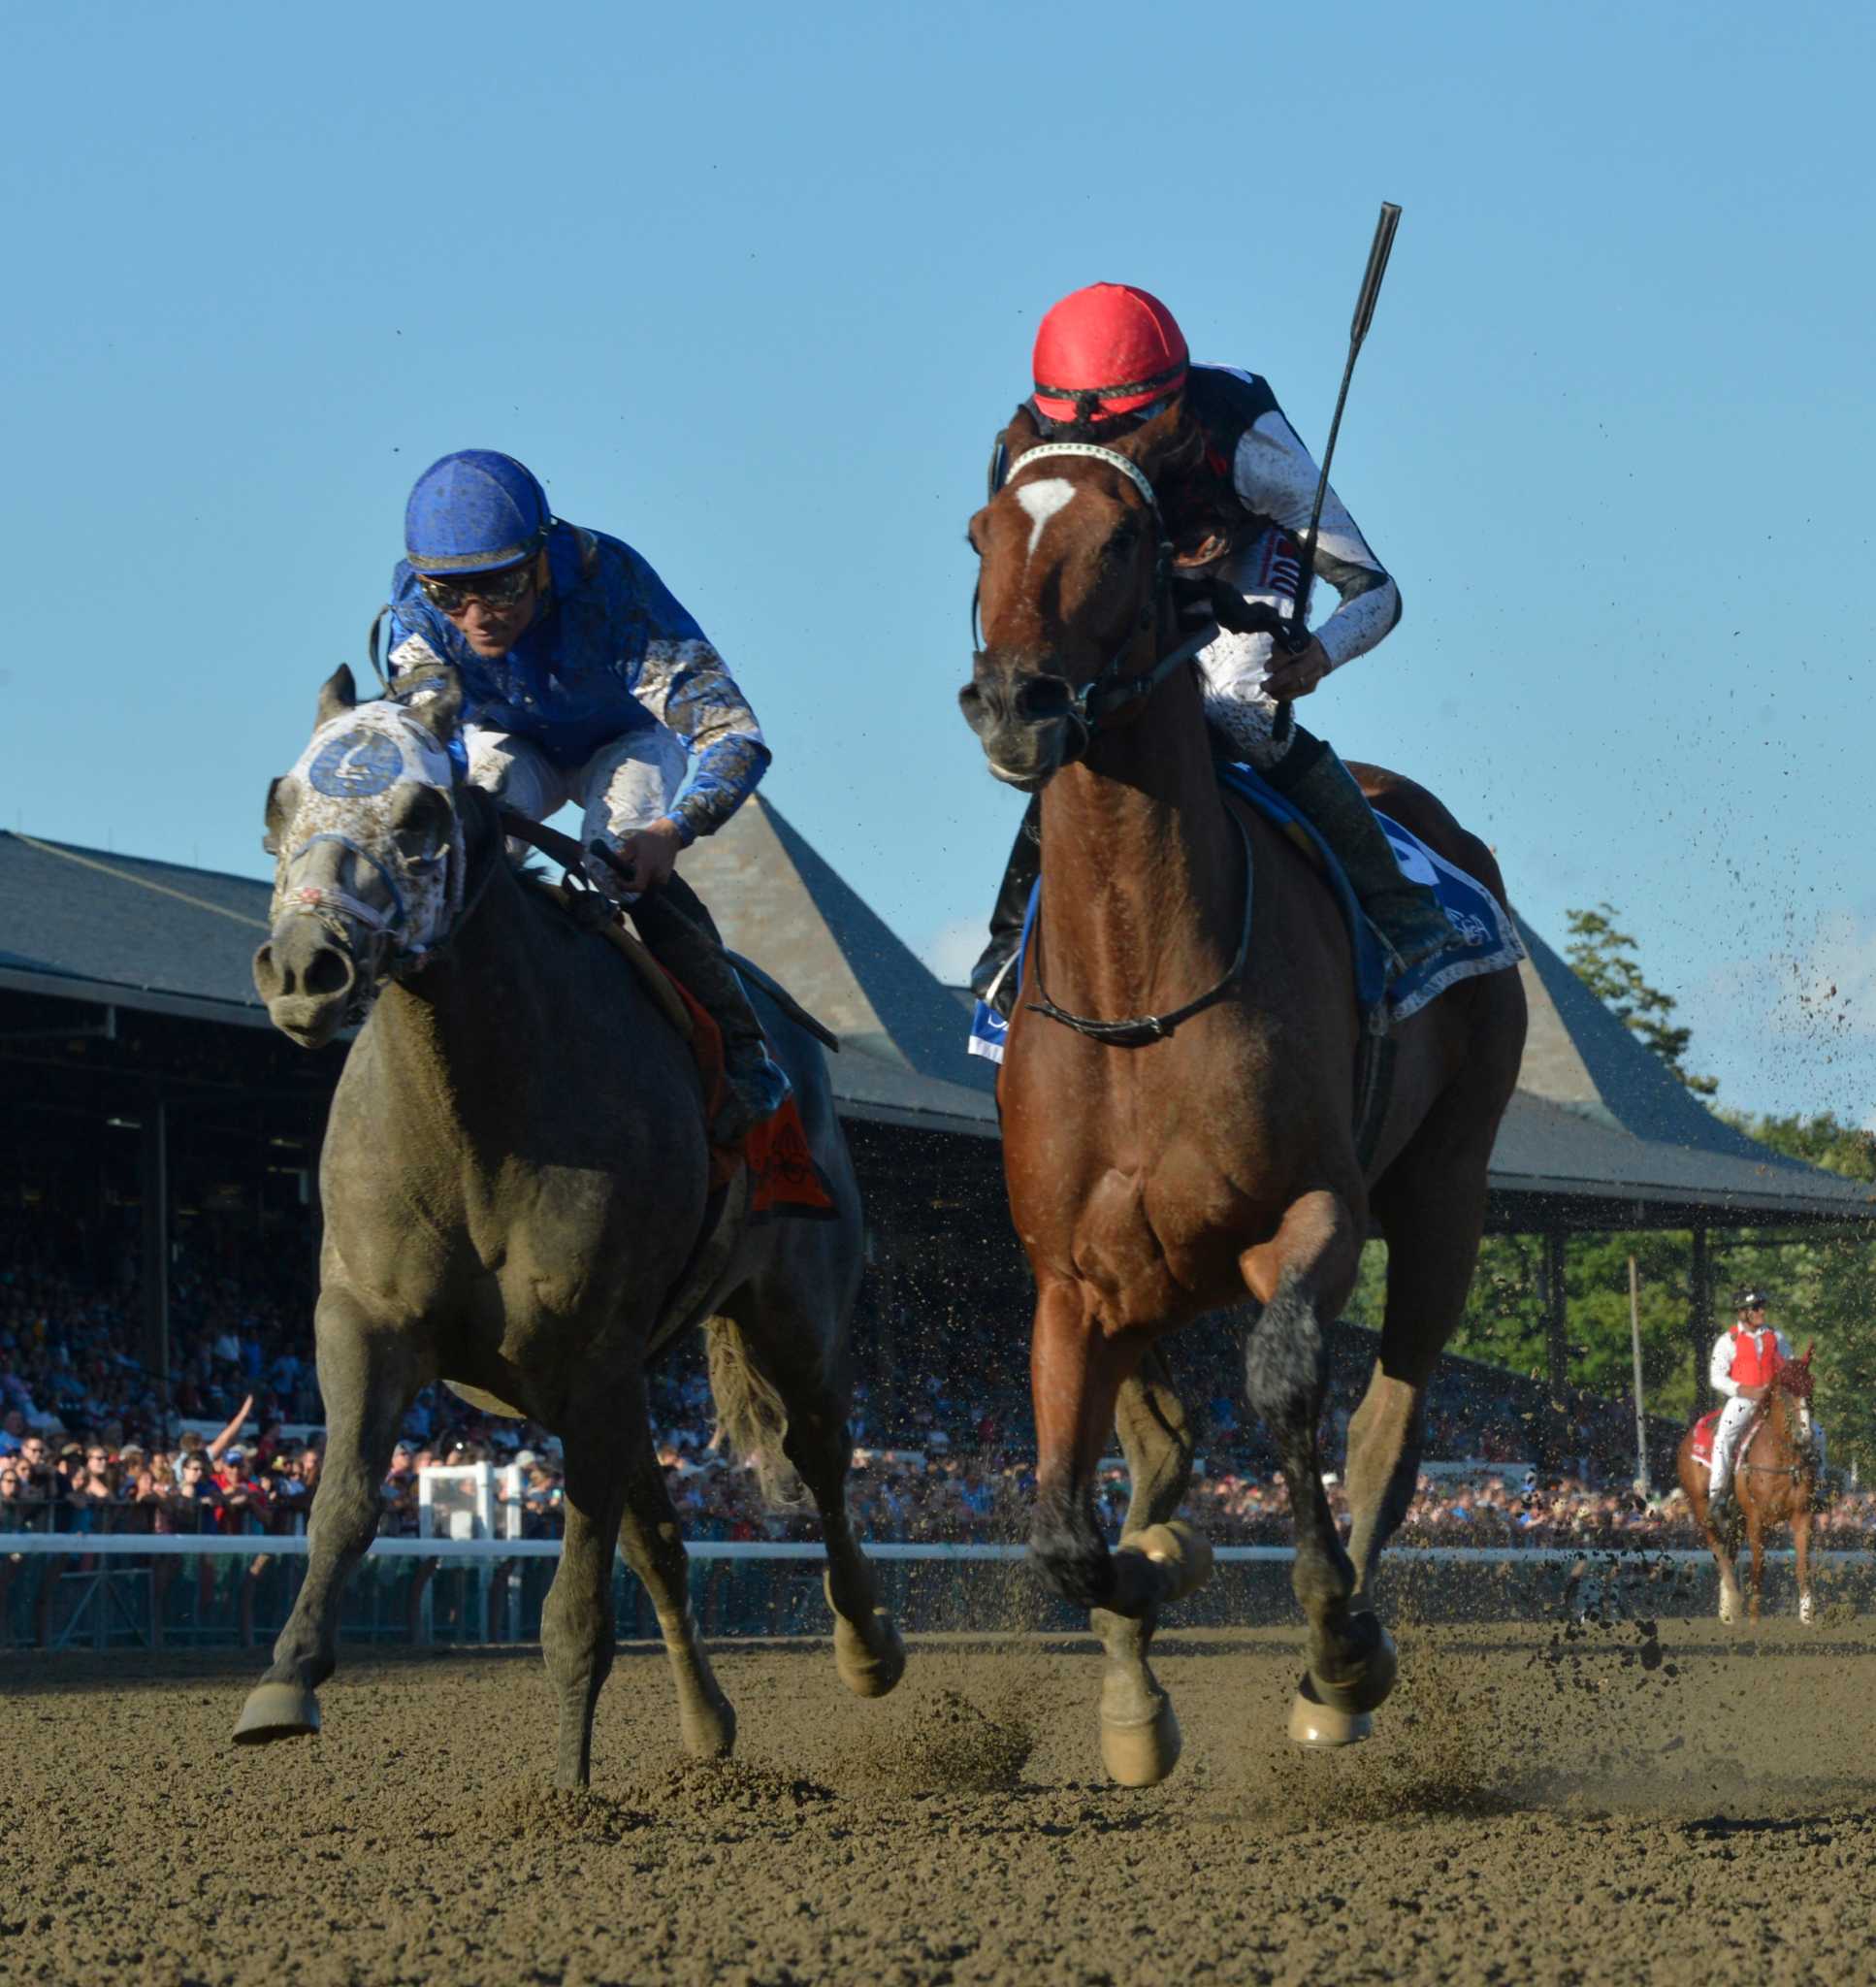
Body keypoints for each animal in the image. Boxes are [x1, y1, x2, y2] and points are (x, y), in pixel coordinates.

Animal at [234, 668, 910, 1788]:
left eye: (420, 815)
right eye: (278, 806)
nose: (302, 968)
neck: (472, 1113)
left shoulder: (594, 1350)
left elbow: (576, 1609)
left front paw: (568, 1791)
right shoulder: (369, 1321)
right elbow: (346, 1501)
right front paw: (284, 1681)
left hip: (791, 1316)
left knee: (820, 1457)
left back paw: (869, 1646)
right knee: (664, 1538)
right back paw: (708, 1723)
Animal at [961, 407, 1534, 1788]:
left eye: (1123, 537)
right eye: (980, 533)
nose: (1013, 702)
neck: (1140, 987)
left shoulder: (1310, 1209)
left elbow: (1282, 1386)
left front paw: (1337, 1642)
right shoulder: (1070, 1275)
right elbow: (1065, 1526)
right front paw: (1160, 1576)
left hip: (1445, 1190)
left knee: (1386, 1425)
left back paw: (1334, 1679)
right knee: (1161, 1447)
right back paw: (1138, 1674)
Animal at [1677, 1351, 1812, 1629]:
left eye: (1811, 1387)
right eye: (1786, 1391)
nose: (1805, 1436)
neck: (1782, 1459)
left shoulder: (1802, 1514)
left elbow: (1803, 1564)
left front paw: (1807, 1614)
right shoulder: (1756, 1518)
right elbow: (1758, 1567)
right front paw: (1754, 1617)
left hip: (1736, 1518)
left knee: (1729, 1551)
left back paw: (1727, 1607)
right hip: (1702, 1508)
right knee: (1719, 1550)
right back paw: (1731, 1601)